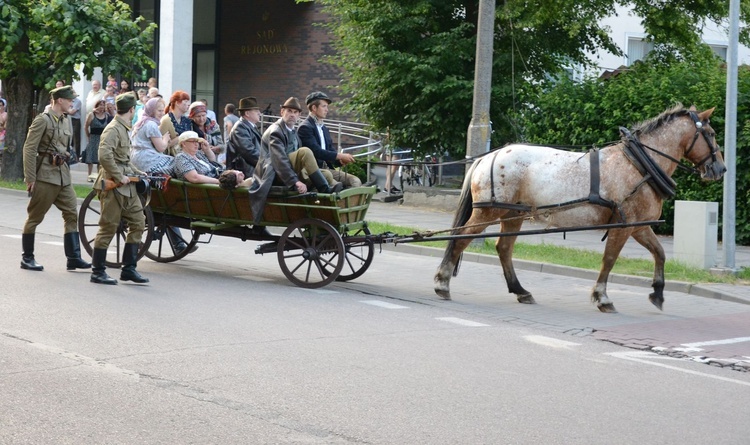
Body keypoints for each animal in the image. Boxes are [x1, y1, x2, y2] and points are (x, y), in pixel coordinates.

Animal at [434, 104, 728, 312]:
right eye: (712, 134)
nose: (721, 169)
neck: (639, 164)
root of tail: (488, 157)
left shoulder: (639, 226)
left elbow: (660, 253)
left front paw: (657, 292)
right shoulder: (623, 225)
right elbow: (609, 260)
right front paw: (602, 298)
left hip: (513, 213)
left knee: (503, 248)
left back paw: (521, 291)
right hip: (488, 211)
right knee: (461, 237)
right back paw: (442, 283)